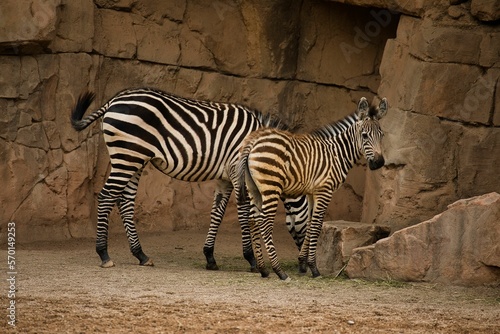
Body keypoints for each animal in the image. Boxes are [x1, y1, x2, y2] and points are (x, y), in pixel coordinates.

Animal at [70, 87, 308, 270]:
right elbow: (243, 212)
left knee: (125, 201)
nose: (304, 266)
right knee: (106, 196)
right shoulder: (237, 170)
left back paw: (141, 255)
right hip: (128, 155)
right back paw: (104, 254)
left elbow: (217, 213)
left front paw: (210, 257)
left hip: (134, 159)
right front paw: (251, 259)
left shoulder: (225, 177)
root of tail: (114, 100)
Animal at [237, 98, 386, 280]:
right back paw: (279, 271)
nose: (378, 163)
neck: (337, 153)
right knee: (264, 221)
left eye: (382, 135)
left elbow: (309, 224)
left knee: (253, 219)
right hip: (271, 186)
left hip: (254, 189)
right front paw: (314, 268)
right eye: (364, 135)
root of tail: (253, 142)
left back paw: (263, 269)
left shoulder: (311, 192)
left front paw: (302, 261)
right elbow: (316, 225)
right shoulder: (324, 191)